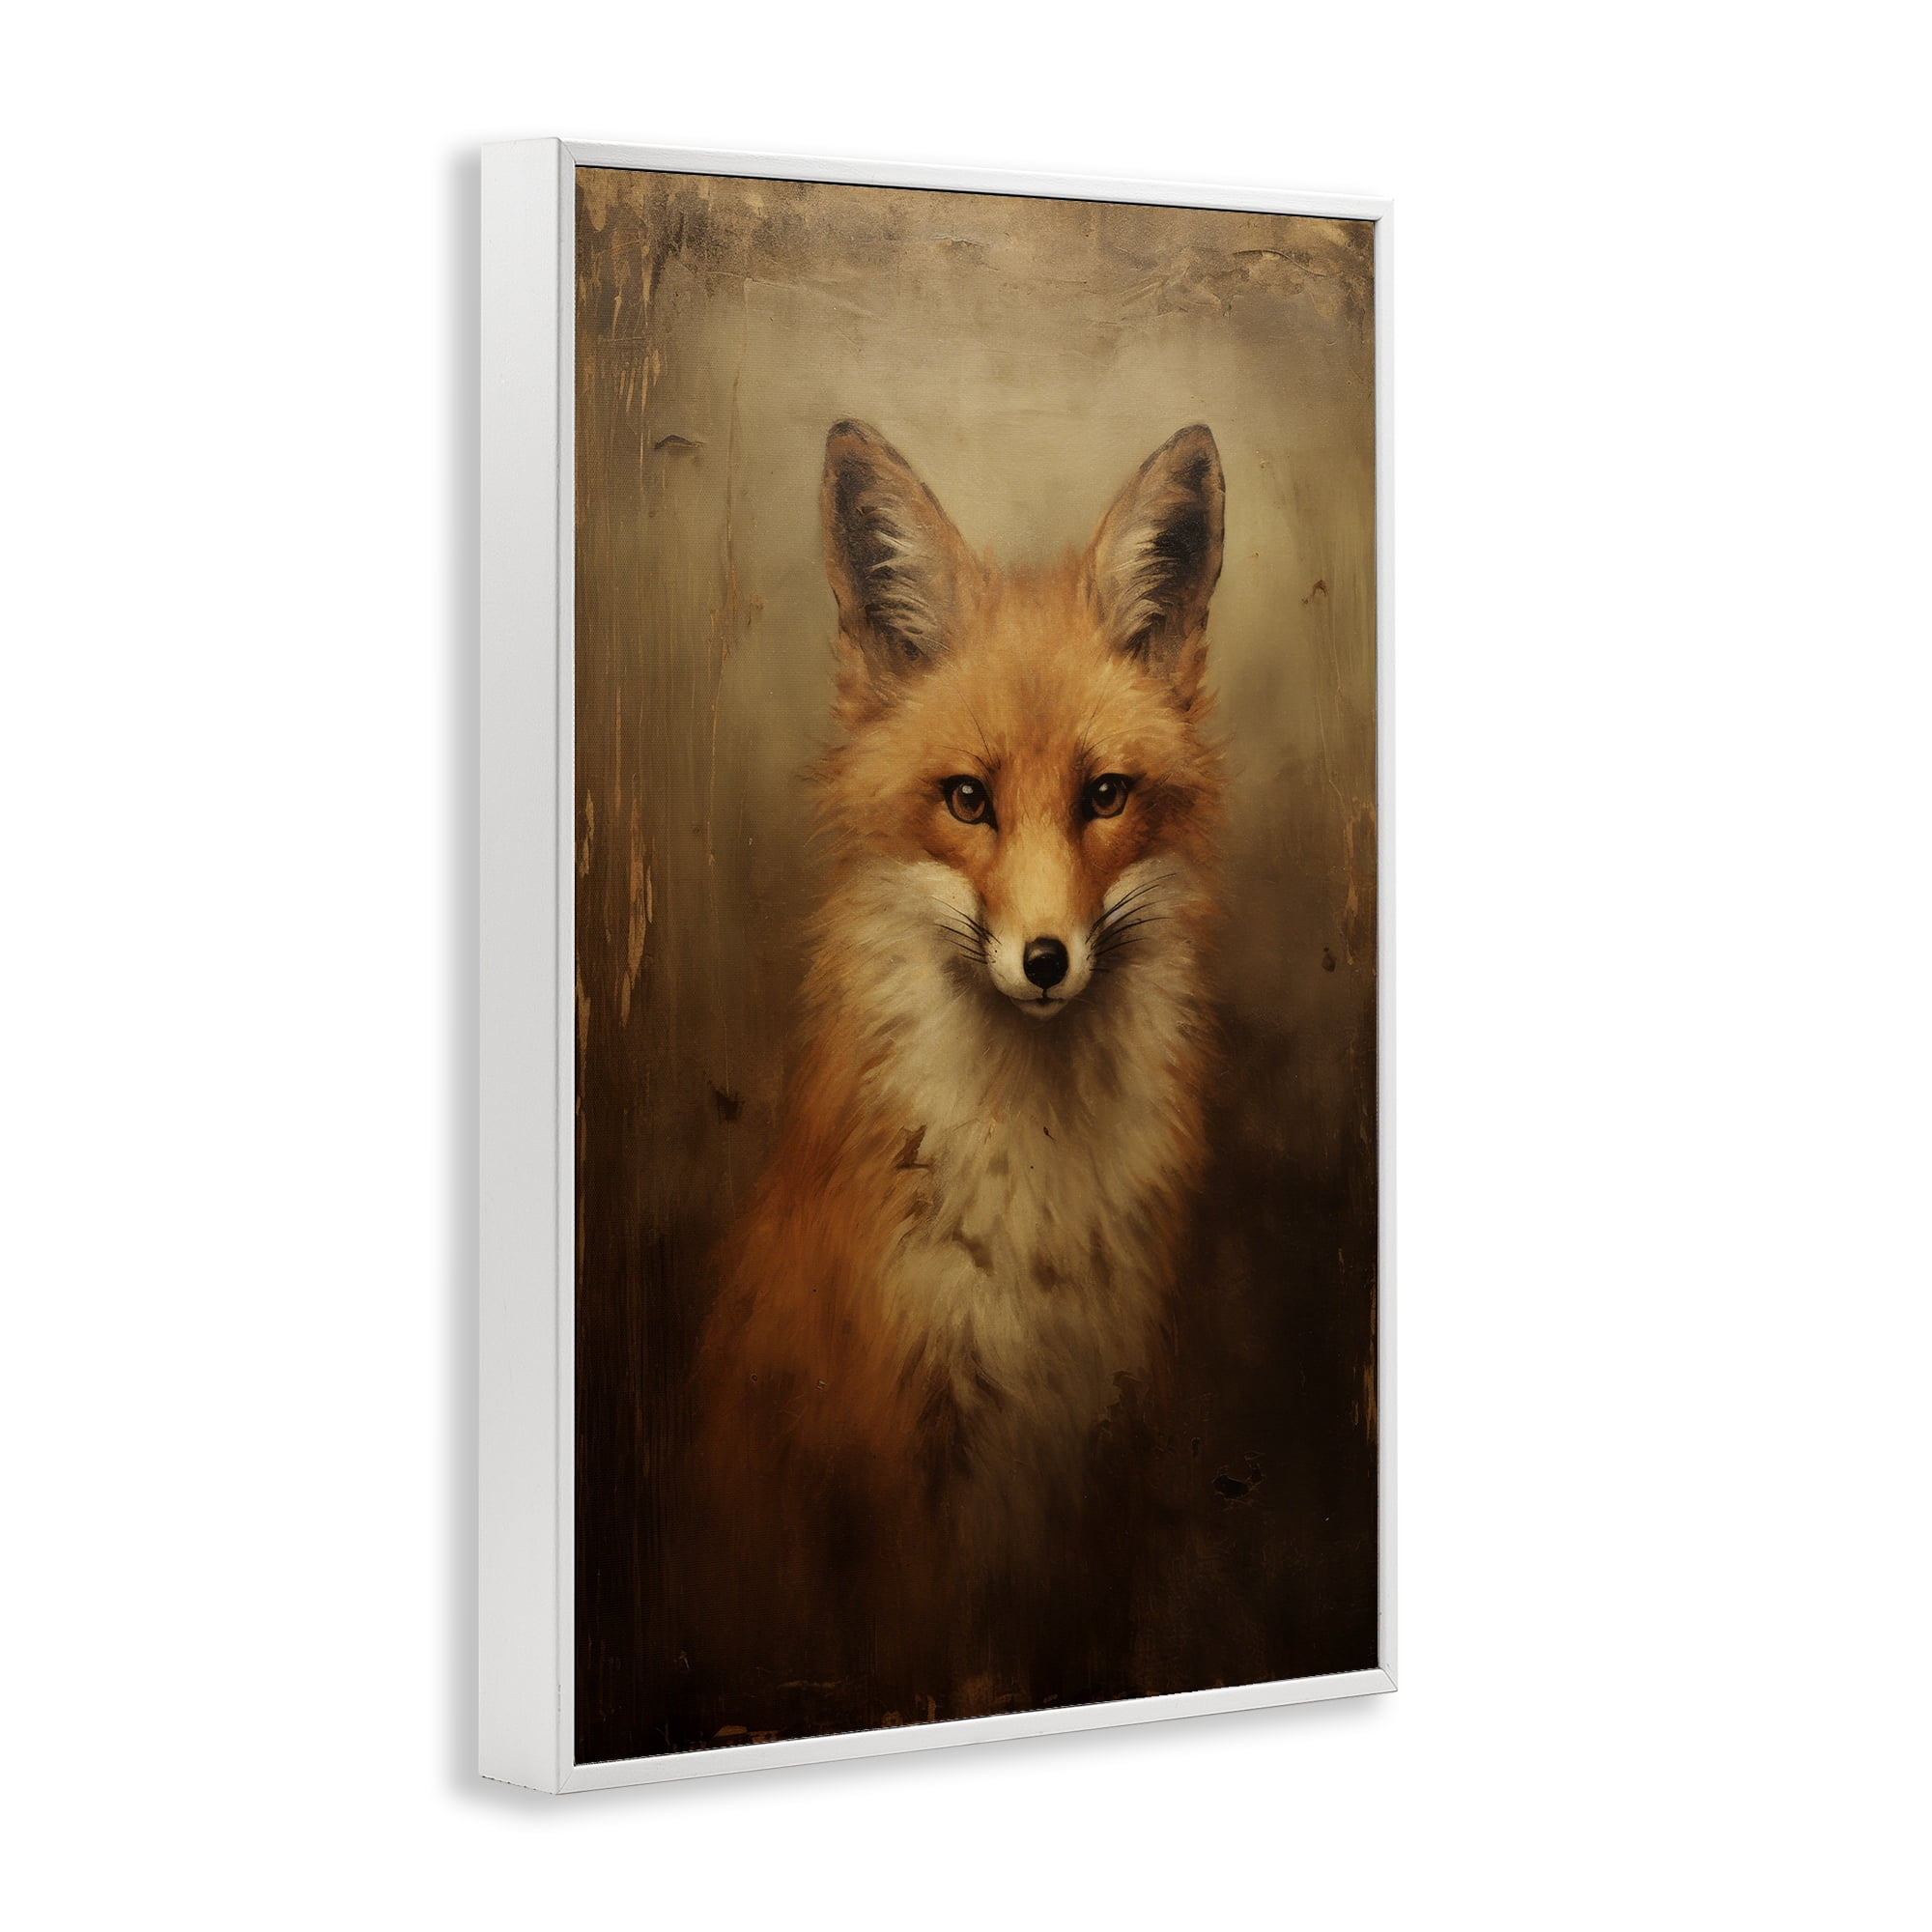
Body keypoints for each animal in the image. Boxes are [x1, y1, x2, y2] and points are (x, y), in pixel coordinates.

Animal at [693, 419, 1228, 1723]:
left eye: (1104, 795)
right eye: (968, 800)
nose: (1043, 960)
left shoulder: (1104, 1432)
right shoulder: (897, 1450)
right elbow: (933, 1674)